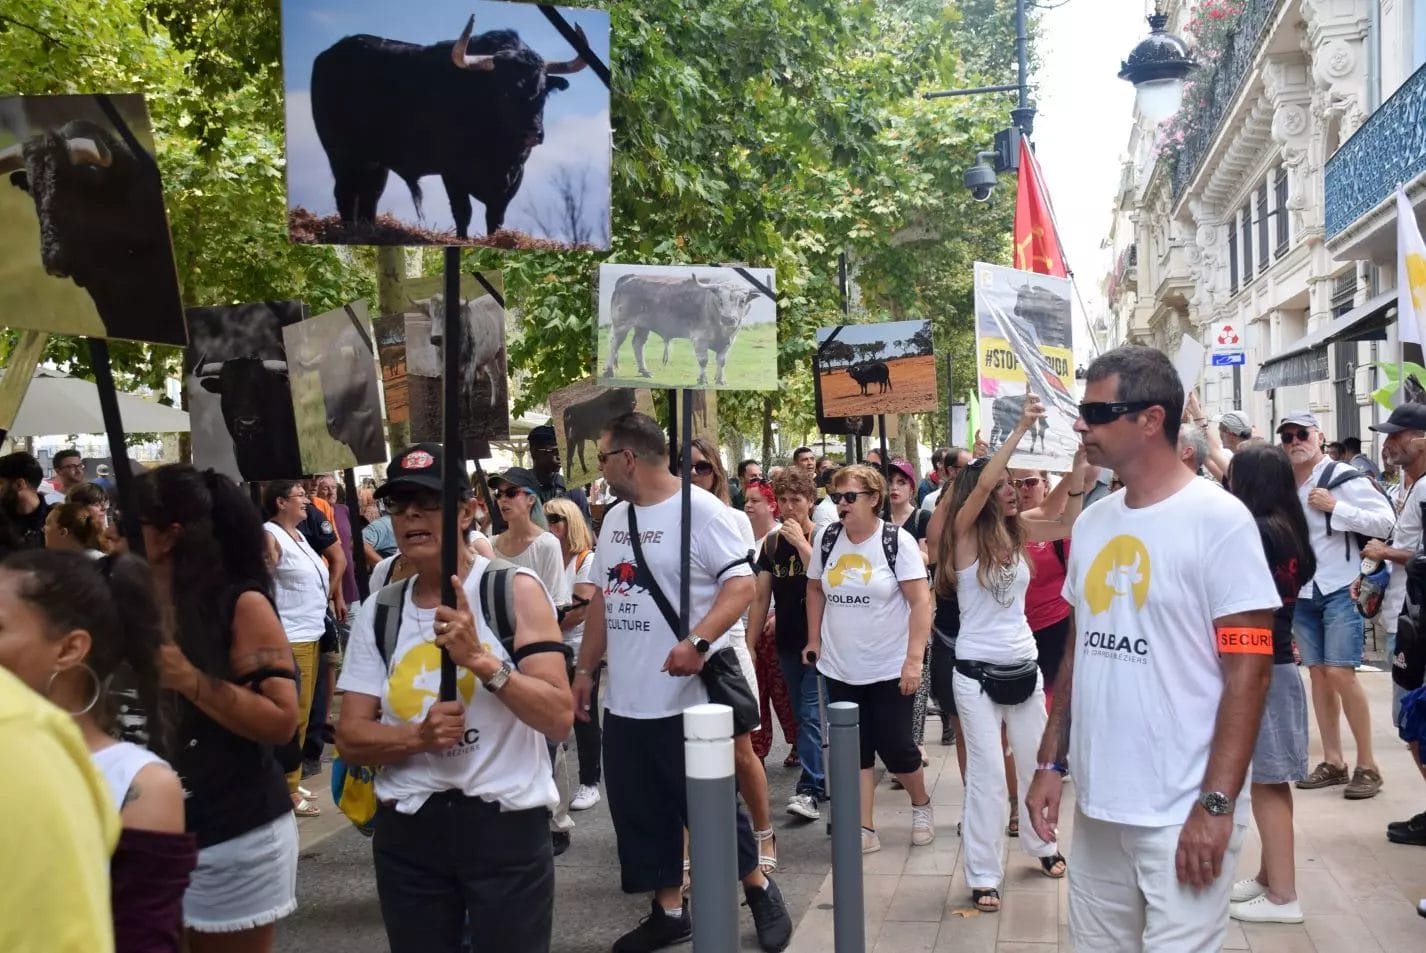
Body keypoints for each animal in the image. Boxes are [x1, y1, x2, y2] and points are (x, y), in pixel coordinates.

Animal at [312, 15, 590, 238]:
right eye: (504, 92)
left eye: (542, 92)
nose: (532, 133)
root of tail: (330, 53)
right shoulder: (453, 172)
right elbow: (463, 212)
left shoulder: (513, 178)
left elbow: (495, 219)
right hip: (341, 154)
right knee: (346, 193)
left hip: (375, 162)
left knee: (369, 197)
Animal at [598, 271, 764, 382]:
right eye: (720, 299)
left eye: (742, 301)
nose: (728, 319)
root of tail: (629, 277)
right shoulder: (699, 338)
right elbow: (703, 360)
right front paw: (702, 380)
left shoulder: (729, 342)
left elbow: (721, 361)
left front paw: (720, 380)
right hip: (621, 324)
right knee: (614, 344)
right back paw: (609, 371)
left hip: (642, 326)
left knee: (638, 344)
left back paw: (645, 371)